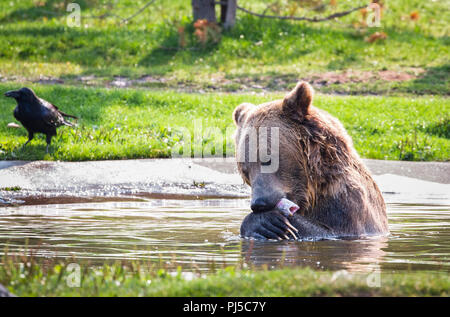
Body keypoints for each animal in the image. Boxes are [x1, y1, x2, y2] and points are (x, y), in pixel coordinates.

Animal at [234, 81, 388, 239]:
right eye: (245, 169)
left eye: (268, 159)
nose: (259, 203)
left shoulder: (348, 206)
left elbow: (331, 231)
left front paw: (270, 222)